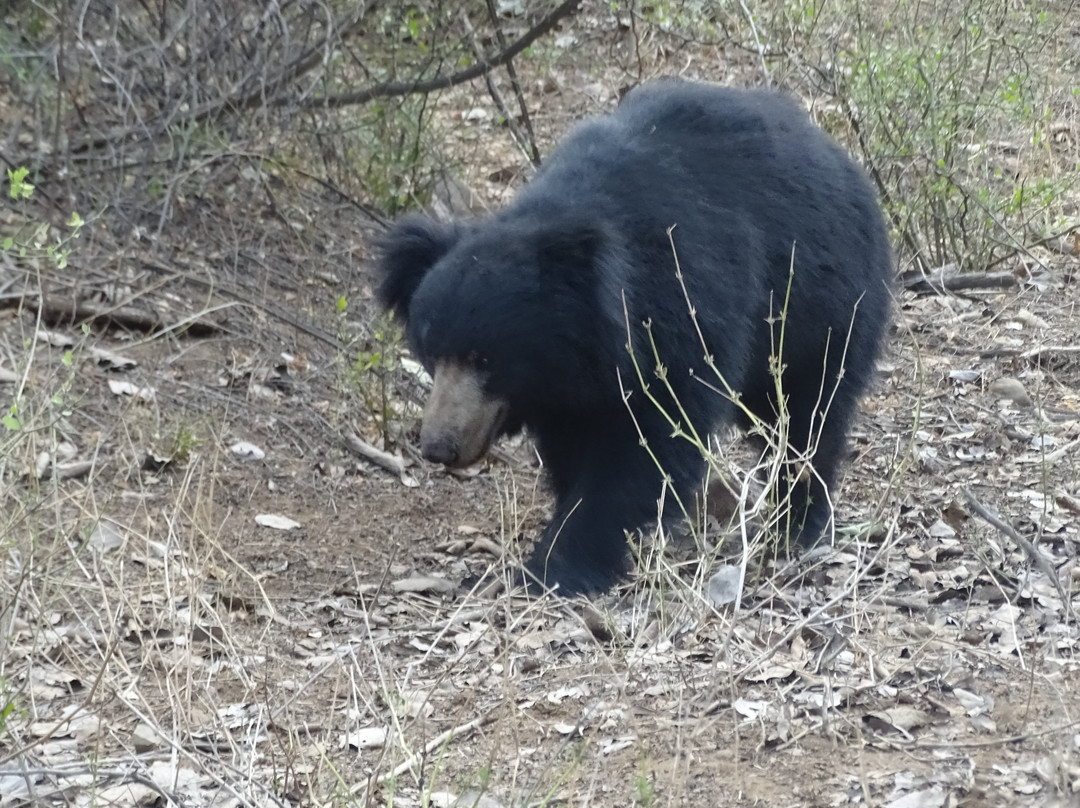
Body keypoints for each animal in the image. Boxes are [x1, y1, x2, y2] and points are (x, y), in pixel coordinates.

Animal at [380, 78, 894, 591]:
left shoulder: (682, 305)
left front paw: (553, 566)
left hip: (821, 306)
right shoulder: (569, 387)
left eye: (484, 358)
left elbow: (648, 444)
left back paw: (798, 524)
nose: (438, 448)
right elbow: (575, 448)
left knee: (809, 415)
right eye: (431, 355)